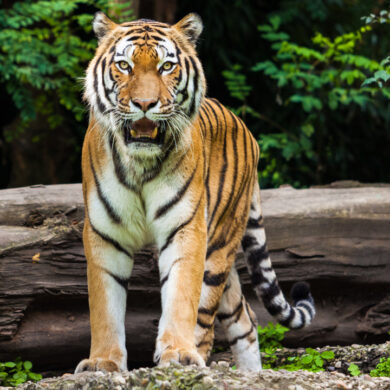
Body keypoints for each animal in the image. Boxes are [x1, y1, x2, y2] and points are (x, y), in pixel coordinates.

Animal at [74, 11, 316, 372]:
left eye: (166, 67)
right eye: (125, 66)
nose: (144, 104)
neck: (141, 164)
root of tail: (246, 128)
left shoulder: (186, 228)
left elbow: (181, 297)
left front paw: (177, 353)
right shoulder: (105, 234)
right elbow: (104, 307)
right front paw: (102, 362)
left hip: (219, 246)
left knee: (208, 318)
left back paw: (197, 357)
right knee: (245, 317)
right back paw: (250, 373)